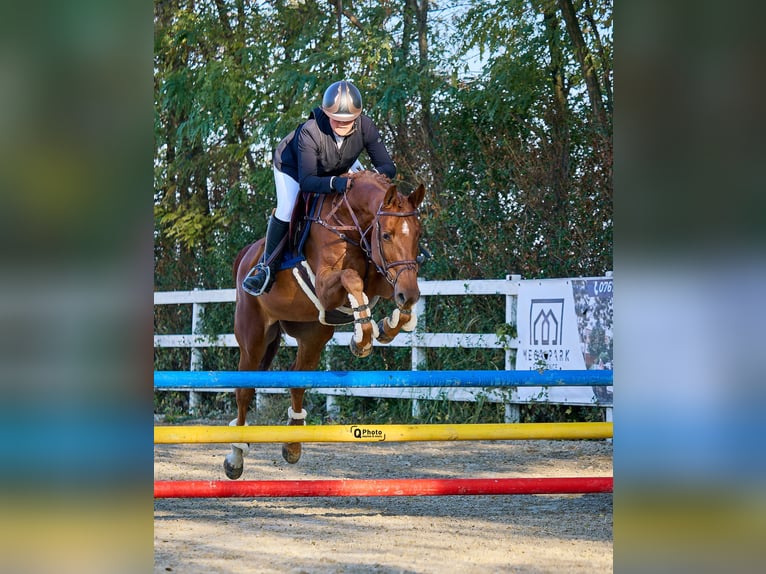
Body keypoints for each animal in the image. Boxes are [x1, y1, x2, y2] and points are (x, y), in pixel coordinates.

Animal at [226, 172, 426, 482]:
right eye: (386, 235)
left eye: (417, 235)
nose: (411, 295)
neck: (350, 224)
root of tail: (246, 255)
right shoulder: (326, 285)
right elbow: (352, 279)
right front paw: (362, 339)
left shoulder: (382, 278)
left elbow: (388, 293)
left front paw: (387, 325)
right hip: (253, 336)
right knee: (244, 390)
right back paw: (235, 456)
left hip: (312, 335)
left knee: (298, 380)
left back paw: (293, 446)